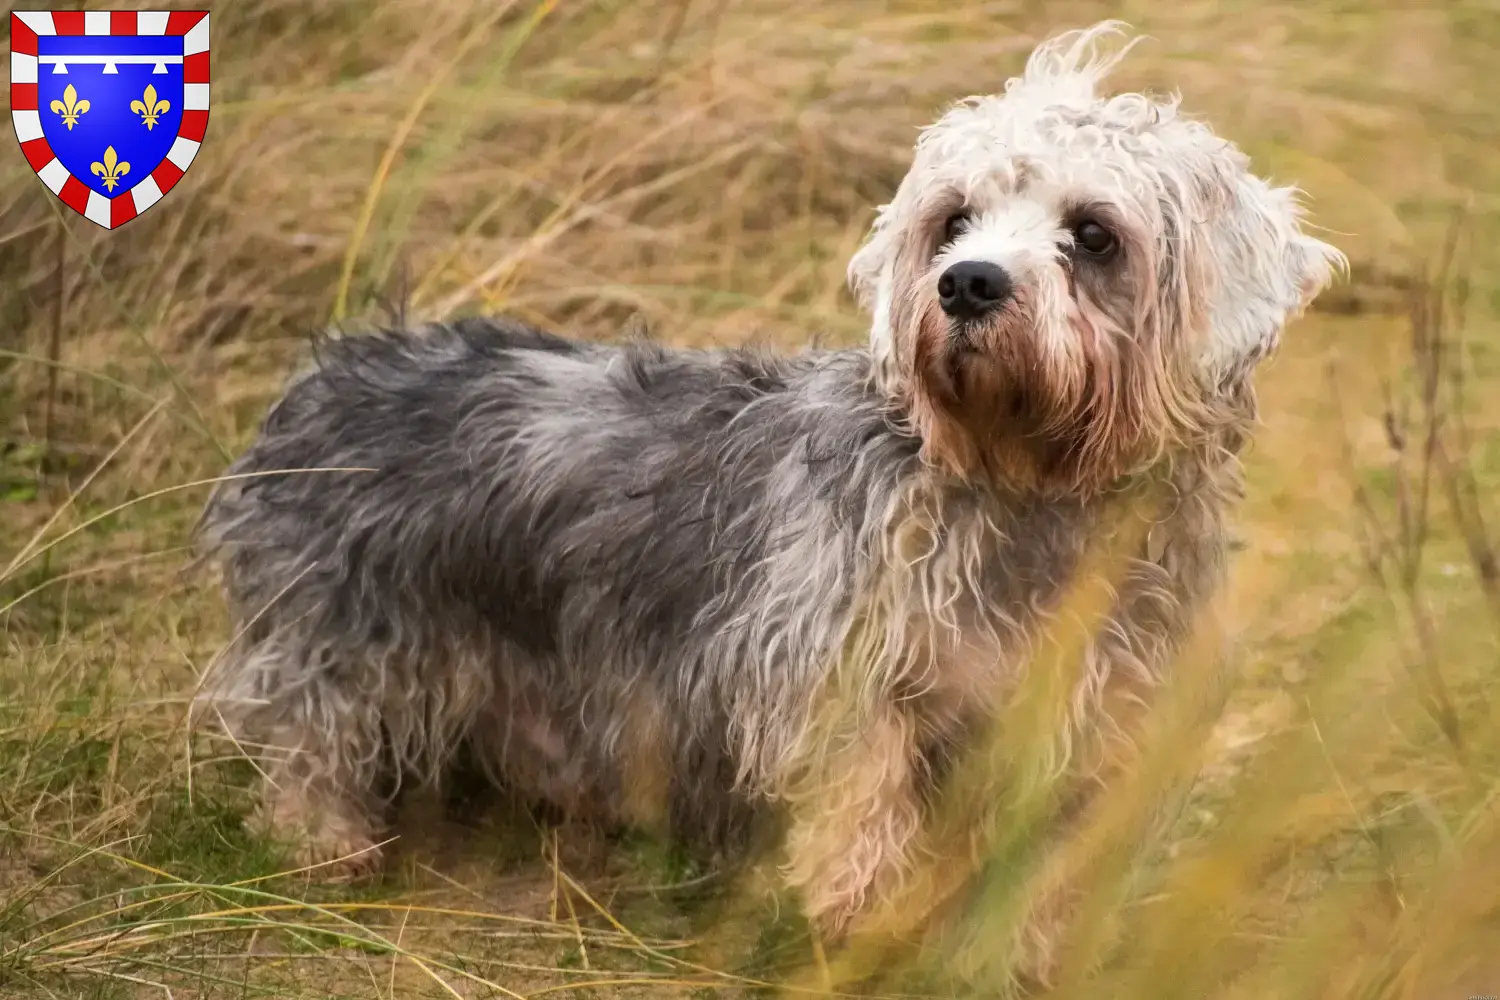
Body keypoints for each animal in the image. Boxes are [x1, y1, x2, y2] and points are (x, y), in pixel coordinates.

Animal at [196, 21, 1338, 983]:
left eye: (1094, 234)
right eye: (953, 220)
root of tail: (341, 362)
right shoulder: (848, 688)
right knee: (304, 745)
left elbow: (1042, 872)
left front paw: (1018, 956)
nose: (966, 284)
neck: (1030, 495)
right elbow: (860, 821)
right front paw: (862, 933)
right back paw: (329, 850)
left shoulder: (1088, 726)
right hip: (338, 642)